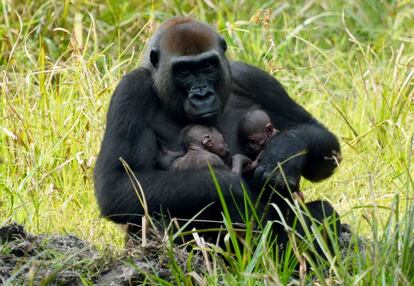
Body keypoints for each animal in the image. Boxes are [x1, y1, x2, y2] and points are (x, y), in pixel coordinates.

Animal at [94, 16, 342, 241]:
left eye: (208, 66)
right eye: (183, 71)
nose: (202, 95)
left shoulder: (253, 77)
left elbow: (323, 142)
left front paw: (284, 153)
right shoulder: (132, 90)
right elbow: (118, 185)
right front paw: (231, 187)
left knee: (322, 214)